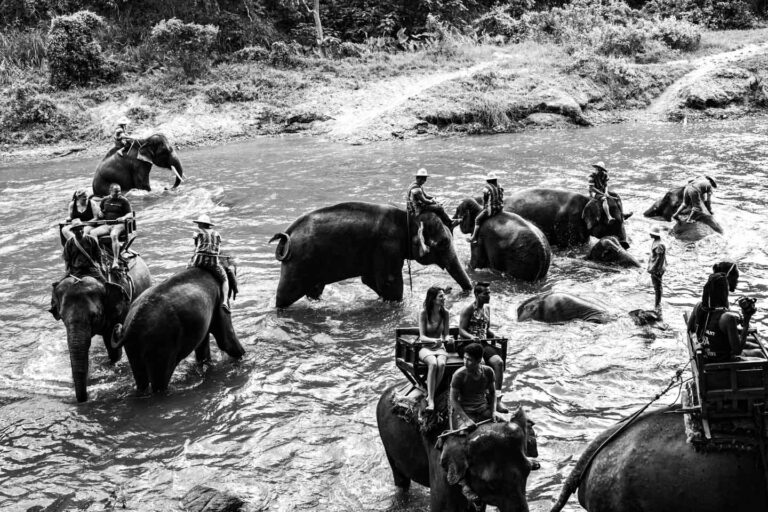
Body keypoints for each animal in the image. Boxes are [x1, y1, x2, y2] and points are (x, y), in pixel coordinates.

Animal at [49, 256, 152, 402]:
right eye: (62, 316)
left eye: (94, 315)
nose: (84, 400)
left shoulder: (119, 310)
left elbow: (112, 346)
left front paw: (113, 366)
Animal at [112, 267, 245, 395]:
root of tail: (131, 326)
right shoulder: (220, 300)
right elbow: (226, 340)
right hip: (161, 345)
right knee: (160, 382)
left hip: (134, 348)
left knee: (141, 380)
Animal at [269, 202, 472, 308]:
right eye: (443, 243)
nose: (460, 291)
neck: (406, 218)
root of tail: (287, 234)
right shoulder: (388, 247)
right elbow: (390, 283)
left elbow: (369, 280)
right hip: (297, 263)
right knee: (285, 295)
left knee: (315, 289)